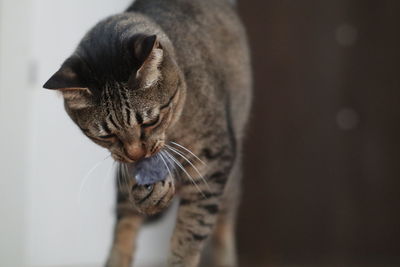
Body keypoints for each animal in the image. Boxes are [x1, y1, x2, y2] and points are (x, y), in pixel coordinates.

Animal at [43, 0, 250, 266]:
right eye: (106, 136)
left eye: (150, 122)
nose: (135, 153)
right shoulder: (126, 170)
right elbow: (127, 220)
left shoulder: (212, 161)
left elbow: (191, 230)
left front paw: (180, 258)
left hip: (232, 171)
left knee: (225, 219)